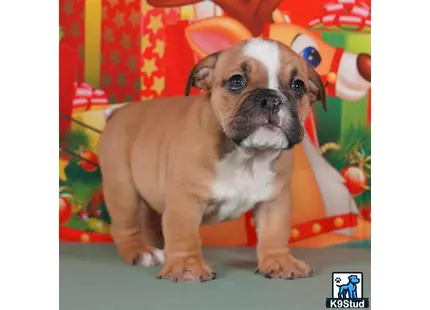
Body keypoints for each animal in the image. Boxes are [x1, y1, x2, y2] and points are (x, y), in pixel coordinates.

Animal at [97, 37, 326, 282]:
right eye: (236, 81)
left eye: (298, 86)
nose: (271, 99)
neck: (247, 156)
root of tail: (117, 114)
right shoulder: (185, 199)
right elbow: (183, 234)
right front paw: (186, 267)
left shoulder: (274, 200)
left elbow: (275, 232)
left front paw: (280, 261)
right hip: (123, 190)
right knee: (125, 225)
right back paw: (140, 252)